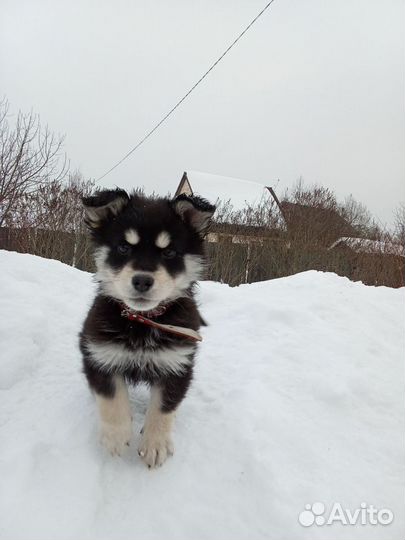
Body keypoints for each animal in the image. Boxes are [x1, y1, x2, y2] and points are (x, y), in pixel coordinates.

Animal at [78, 190, 215, 468]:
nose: (142, 280)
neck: (141, 322)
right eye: (123, 247)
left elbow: (164, 408)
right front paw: (116, 436)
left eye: (170, 252)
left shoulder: (177, 364)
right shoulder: (98, 353)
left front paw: (155, 444)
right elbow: (111, 398)